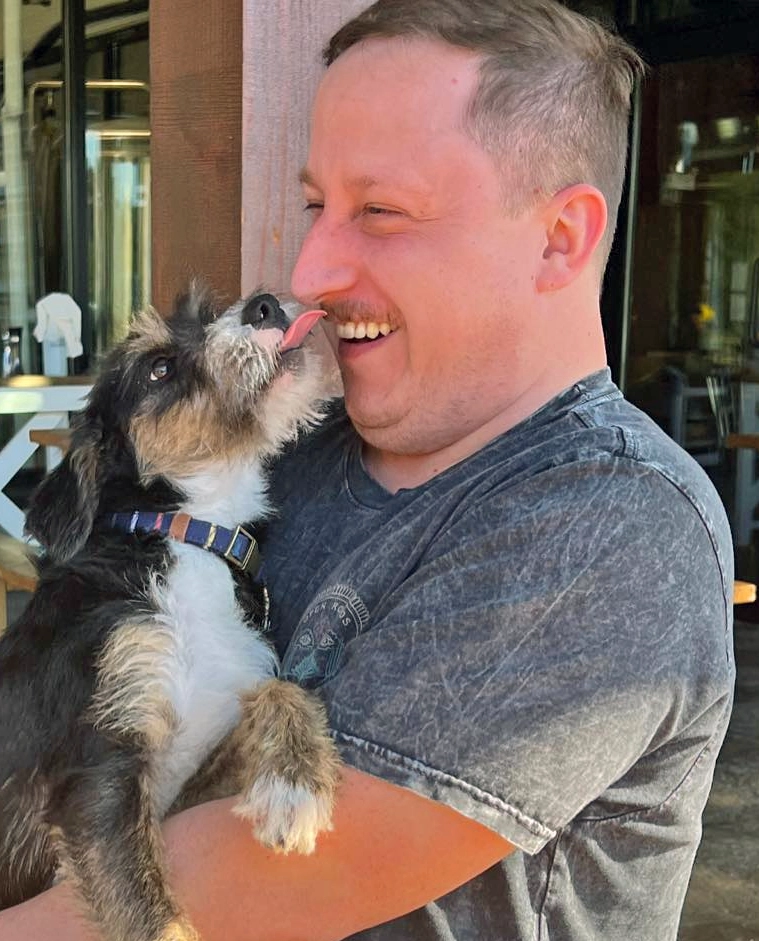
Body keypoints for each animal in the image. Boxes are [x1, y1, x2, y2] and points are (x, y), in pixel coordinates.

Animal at [0, 288, 340, 940]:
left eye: (206, 317)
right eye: (159, 369)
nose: (263, 304)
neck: (190, 535)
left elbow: (284, 689)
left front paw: (293, 780)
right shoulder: (98, 770)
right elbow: (149, 914)